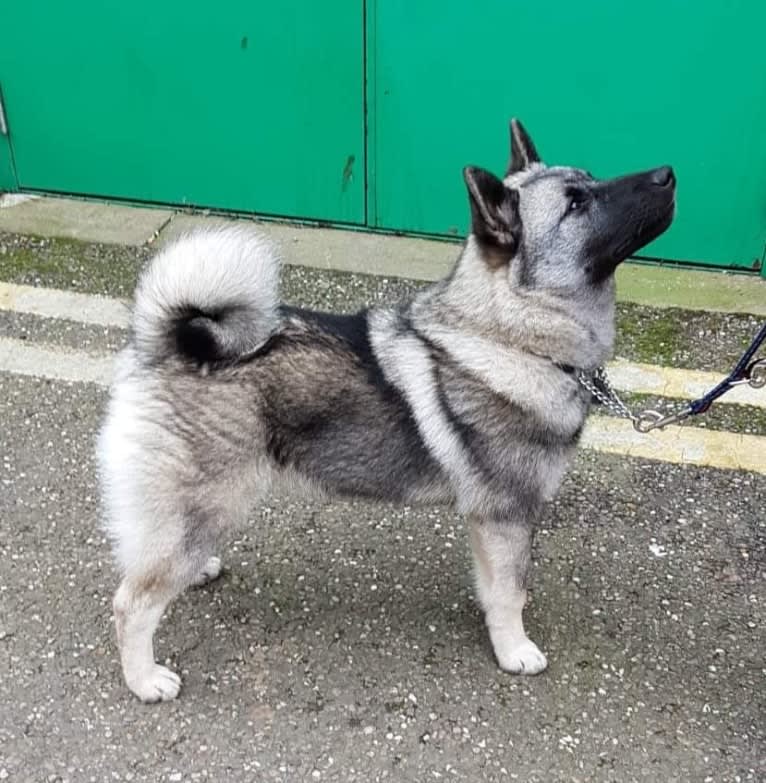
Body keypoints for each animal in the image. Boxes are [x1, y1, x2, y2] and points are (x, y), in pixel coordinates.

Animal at [97, 122, 680, 704]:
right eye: (575, 203)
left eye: (591, 178)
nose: (667, 174)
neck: (510, 337)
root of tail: (167, 346)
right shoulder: (505, 515)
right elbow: (509, 591)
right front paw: (514, 649)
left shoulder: (487, 523)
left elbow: (495, 585)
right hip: (207, 502)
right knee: (131, 603)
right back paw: (145, 679)